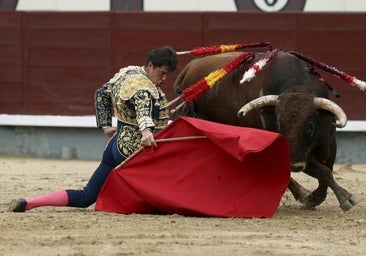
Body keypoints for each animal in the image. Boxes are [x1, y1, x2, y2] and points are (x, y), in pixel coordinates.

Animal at [172, 49, 360, 210]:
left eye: (310, 126)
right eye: (278, 123)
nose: (293, 164)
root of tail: (189, 67)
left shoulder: (329, 144)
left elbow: (326, 172)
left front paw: (337, 197)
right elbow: (323, 172)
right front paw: (329, 198)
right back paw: (302, 193)